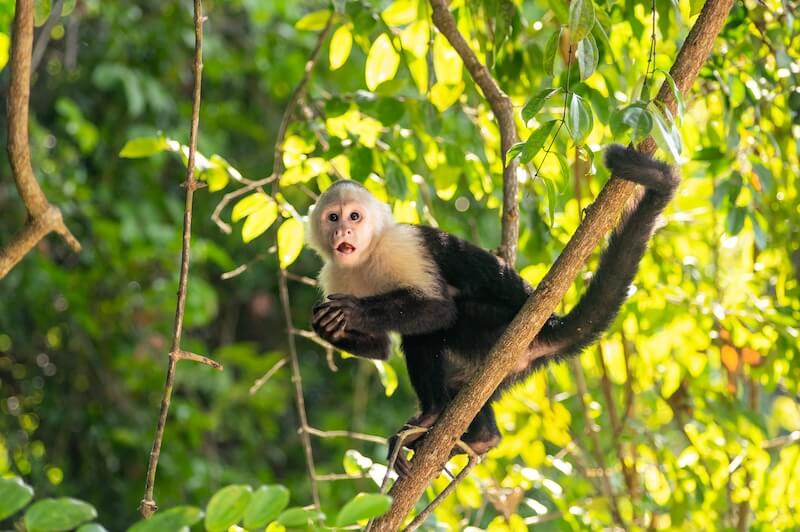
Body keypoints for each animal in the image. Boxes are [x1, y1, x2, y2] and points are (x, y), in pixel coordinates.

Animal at [307, 145, 679, 475]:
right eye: (333, 217)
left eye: (355, 216)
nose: (343, 230)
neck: (367, 257)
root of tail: (546, 326)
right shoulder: (334, 273)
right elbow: (382, 349)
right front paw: (328, 327)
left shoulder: (401, 247)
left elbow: (438, 310)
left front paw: (352, 311)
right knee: (466, 386)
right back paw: (479, 436)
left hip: (495, 330)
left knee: (433, 330)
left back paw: (435, 416)